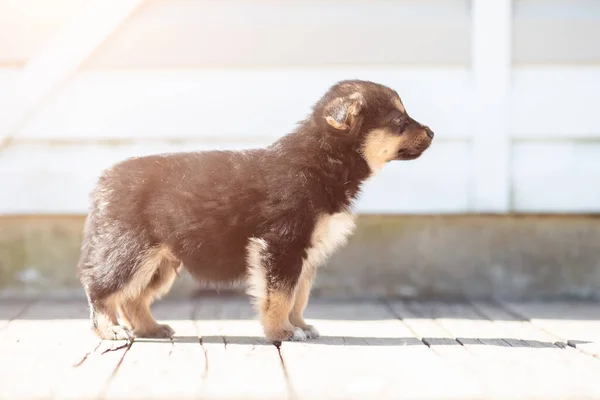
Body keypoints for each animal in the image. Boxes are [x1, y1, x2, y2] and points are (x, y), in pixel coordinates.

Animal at [77, 79, 434, 342]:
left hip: (159, 260)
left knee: (133, 297)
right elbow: (280, 297)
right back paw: (109, 330)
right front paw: (282, 332)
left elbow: (298, 296)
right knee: (101, 290)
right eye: (400, 121)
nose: (432, 132)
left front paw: (299, 325)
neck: (324, 159)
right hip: (130, 250)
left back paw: (150, 328)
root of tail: (104, 181)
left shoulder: (303, 254)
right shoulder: (280, 246)